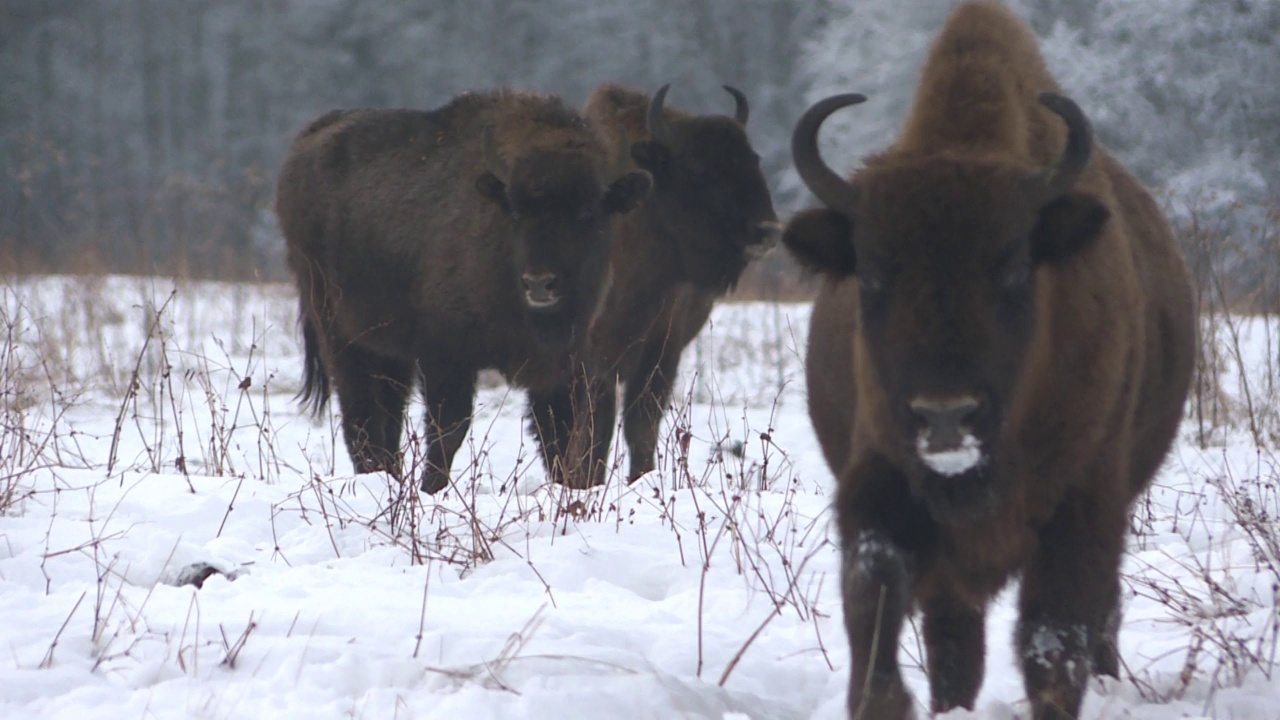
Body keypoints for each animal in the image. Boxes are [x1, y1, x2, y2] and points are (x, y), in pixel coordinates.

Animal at [281, 88, 660, 491]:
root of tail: (306, 142)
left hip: (387, 351)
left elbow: (558, 435)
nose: (539, 283)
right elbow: (448, 430)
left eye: (588, 212)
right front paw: (432, 488)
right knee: (360, 415)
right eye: (516, 211)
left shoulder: (560, 368)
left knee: (387, 417)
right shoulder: (445, 357)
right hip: (338, 332)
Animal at [519, 83, 778, 484]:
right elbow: (593, 427)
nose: (766, 230)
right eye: (701, 168)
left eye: (753, 158)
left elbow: (639, 423)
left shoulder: (662, 349)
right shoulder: (592, 361)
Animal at [778, 2, 1198, 712]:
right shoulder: (880, 476)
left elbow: (1054, 634)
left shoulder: (1084, 501)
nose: (945, 415)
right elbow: (875, 585)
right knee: (954, 631)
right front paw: (883, 701)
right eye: (871, 275)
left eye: (1013, 269)